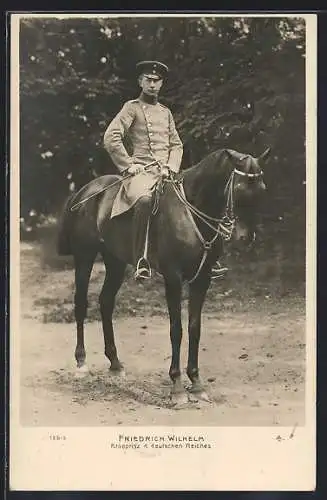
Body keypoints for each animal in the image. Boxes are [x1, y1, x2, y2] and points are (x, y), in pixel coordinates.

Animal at [57, 148, 270, 406]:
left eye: (262, 188)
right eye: (238, 188)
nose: (246, 238)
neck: (192, 212)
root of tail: (85, 190)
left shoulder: (202, 280)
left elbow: (195, 328)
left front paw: (196, 383)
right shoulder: (173, 278)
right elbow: (176, 329)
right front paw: (177, 386)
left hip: (115, 261)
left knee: (106, 302)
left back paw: (115, 364)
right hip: (84, 257)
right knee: (80, 304)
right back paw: (81, 362)